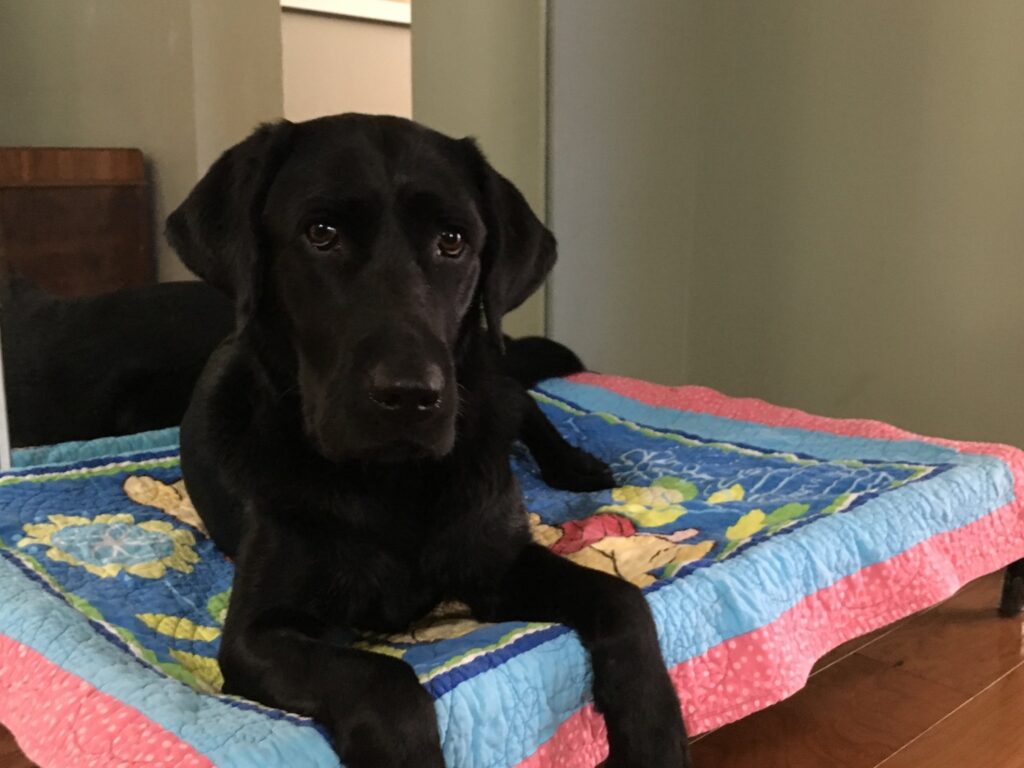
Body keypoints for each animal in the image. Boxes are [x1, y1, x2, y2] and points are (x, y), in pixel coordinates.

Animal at [167, 115, 692, 768]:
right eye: (321, 233)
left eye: (453, 241)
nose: (411, 395)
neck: (393, 481)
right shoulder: (255, 634)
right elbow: (387, 682)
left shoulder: (500, 563)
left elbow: (623, 600)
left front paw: (652, 735)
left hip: (489, 381)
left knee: (524, 405)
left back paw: (575, 463)